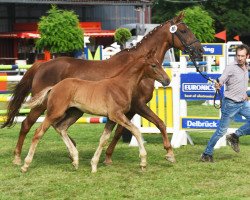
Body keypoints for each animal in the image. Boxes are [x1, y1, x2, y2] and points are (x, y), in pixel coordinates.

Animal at [21, 49, 170, 173]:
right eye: (154, 65)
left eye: (159, 63)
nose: (167, 80)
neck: (121, 85)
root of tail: (54, 87)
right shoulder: (117, 115)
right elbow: (136, 131)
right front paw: (143, 163)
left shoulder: (111, 118)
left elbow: (103, 139)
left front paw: (94, 165)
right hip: (55, 112)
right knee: (38, 132)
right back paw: (25, 165)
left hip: (75, 112)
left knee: (61, 127)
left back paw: (75, 160)